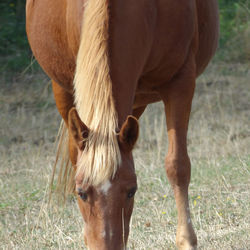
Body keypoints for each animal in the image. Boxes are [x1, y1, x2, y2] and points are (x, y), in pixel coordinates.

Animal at [25, 0, 219, 248]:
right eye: (81, 192)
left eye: (131, 191)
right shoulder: (65, 87)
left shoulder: (180, 81)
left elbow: (178, 165)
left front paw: (186, 240)